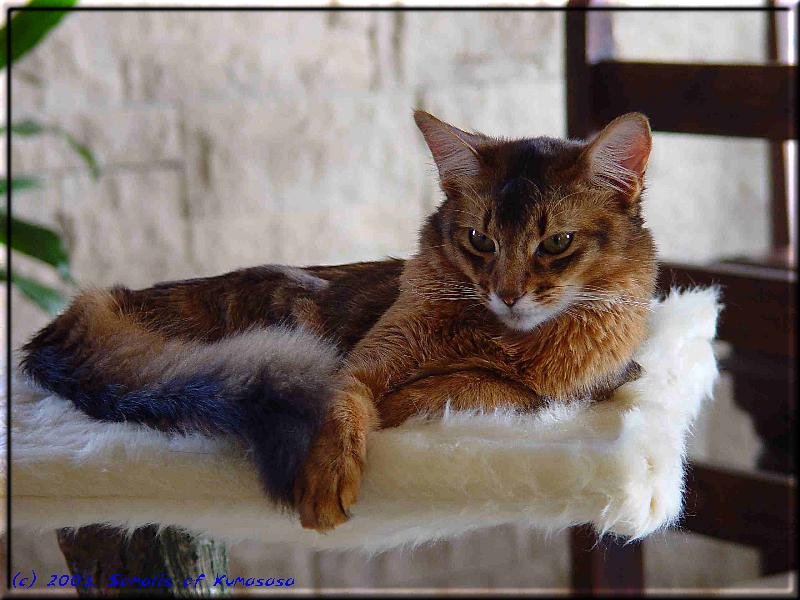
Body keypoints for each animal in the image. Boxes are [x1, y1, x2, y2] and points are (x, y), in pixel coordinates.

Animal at [18, 110, 656, 532]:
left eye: (557, 243)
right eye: (480, 239)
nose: (508, 293)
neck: (502, 337)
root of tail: (117, 300)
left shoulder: (585, 387)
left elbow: (489, 389)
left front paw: (414, 399)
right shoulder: (358, 362)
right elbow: (343, 399)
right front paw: (327, 475)